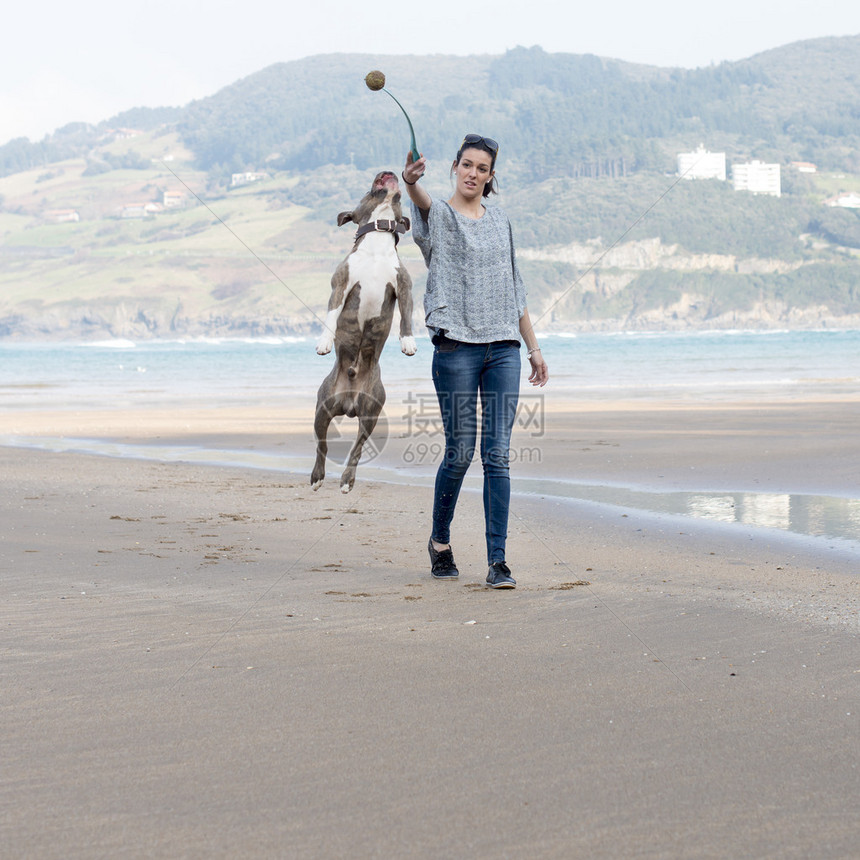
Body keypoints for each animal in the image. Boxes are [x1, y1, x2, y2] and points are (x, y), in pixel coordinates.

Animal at [310, 171, 418, 494]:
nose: (388, 172)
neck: (377, 244)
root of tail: (349, 402)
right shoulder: (341, 285)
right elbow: (331, 315)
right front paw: (324, 343)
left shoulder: (403, 288)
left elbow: (407, 317)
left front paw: (408, 342)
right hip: (322, 410)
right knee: (322, 445)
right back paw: (318, 477)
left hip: (370, 413)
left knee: (357, 448)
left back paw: (347, 480)